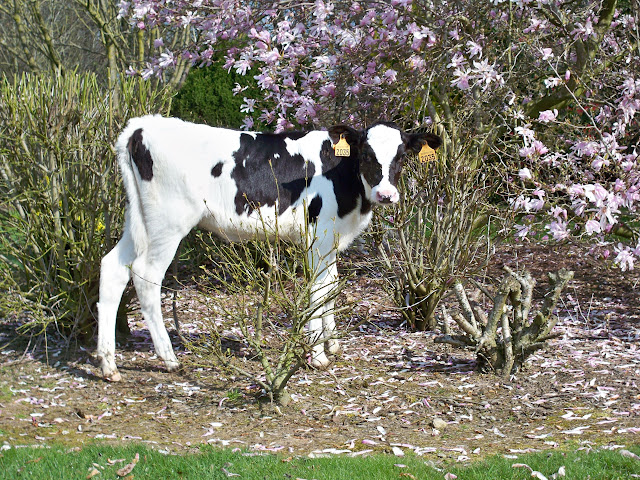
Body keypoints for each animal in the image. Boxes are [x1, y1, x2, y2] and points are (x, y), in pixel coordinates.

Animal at [96, 114, 440, 380]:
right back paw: (169, 359)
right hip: (168, 223)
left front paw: (332, 345)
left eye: (401, 156)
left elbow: (331, 288)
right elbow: (317, 293)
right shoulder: (316, 238)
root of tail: (142, 126)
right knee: (146, 275)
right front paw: (318, 355)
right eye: (366, 155)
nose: (386, 195)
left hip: (139, 221)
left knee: (113, 268)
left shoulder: (331, 241)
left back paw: (108, 365)